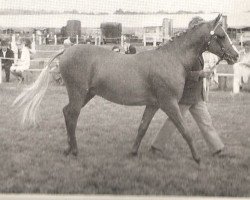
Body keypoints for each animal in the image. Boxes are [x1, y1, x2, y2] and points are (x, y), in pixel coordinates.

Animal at [13, 14, 238, 164]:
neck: (172, 59)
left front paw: (133, 152)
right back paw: (74, 150)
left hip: (87, 94)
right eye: (220, 35)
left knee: (67, 113)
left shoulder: (153, 104)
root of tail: (66, 50)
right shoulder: (169, 103)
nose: (235, 56)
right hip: (78, 93)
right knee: (72, 115)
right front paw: (197, 158)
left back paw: (69, 148)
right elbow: (185, 130)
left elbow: (142, 128)